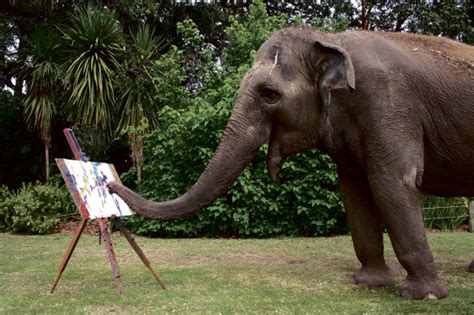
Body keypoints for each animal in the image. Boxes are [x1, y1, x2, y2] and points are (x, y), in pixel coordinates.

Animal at [108, 27, 474, 302]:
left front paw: (422, 296)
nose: (111, 183)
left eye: (269, 94)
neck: (328, 38)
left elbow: (393, 180)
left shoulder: (389, 103)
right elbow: (354, 192)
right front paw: (368, 284)